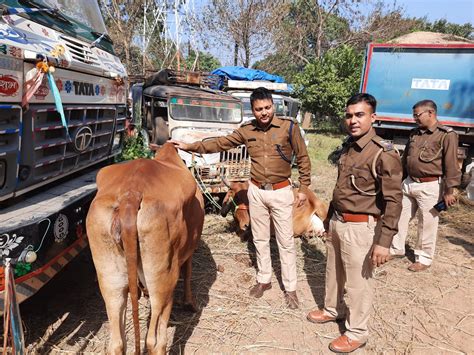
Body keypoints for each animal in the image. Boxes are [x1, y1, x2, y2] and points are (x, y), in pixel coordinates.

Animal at [86, 143, 204, 354]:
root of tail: (131, 194)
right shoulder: (190, 250)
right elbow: (189, 273)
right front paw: (190, 304)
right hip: (163, 279)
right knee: (155, 341)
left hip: (110, 279)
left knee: (117, 342)